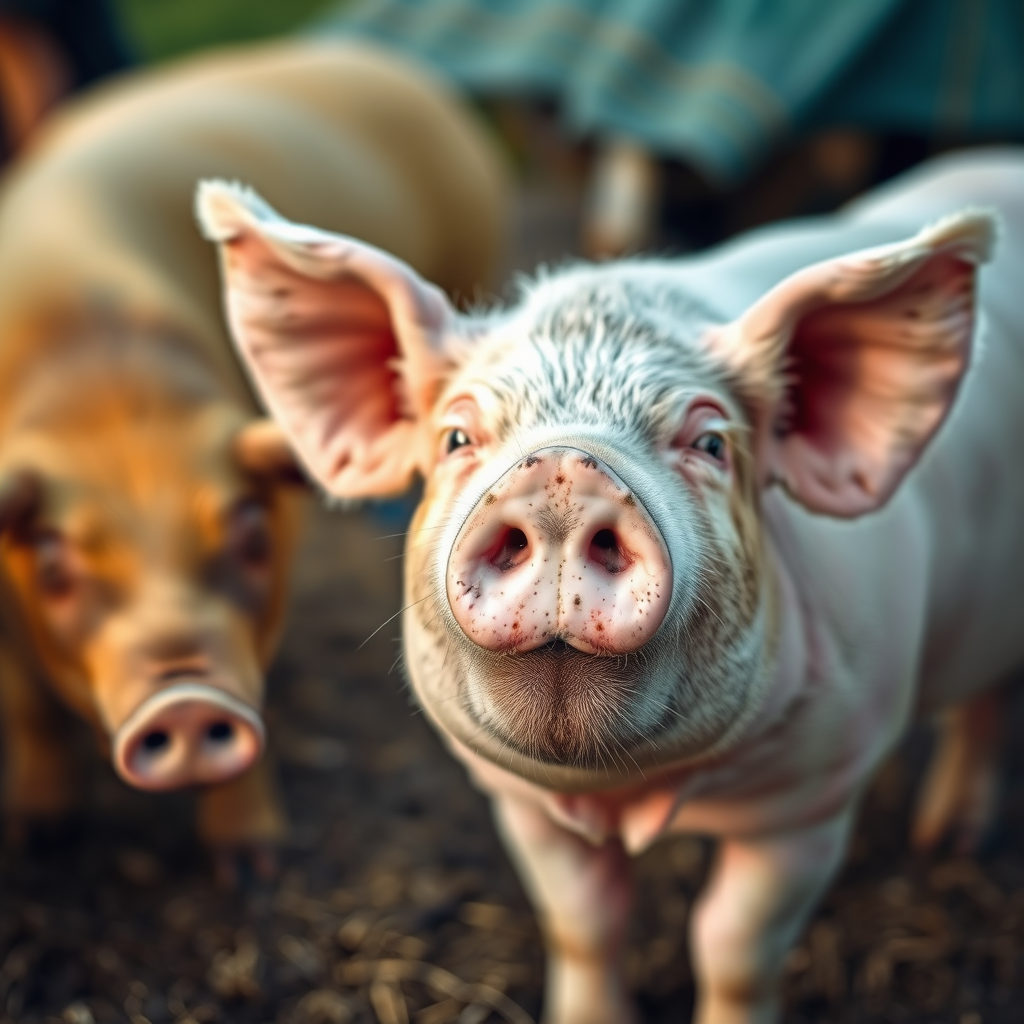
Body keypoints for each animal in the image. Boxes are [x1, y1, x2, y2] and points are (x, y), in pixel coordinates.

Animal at [0, 40, 506, 876]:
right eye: (52, 562)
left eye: (250, 534)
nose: (186, 701)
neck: (111, 402)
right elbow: (30, 709)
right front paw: (40, 836)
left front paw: (252, 869)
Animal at [200, 147, 1019, 1018]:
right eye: (456, 436)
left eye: (711, 443)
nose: (562, 470)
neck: (622, 797)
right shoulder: (518, 801)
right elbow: (584, 922)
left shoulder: (816, 797)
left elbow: (733, 945)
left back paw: (949, 841)